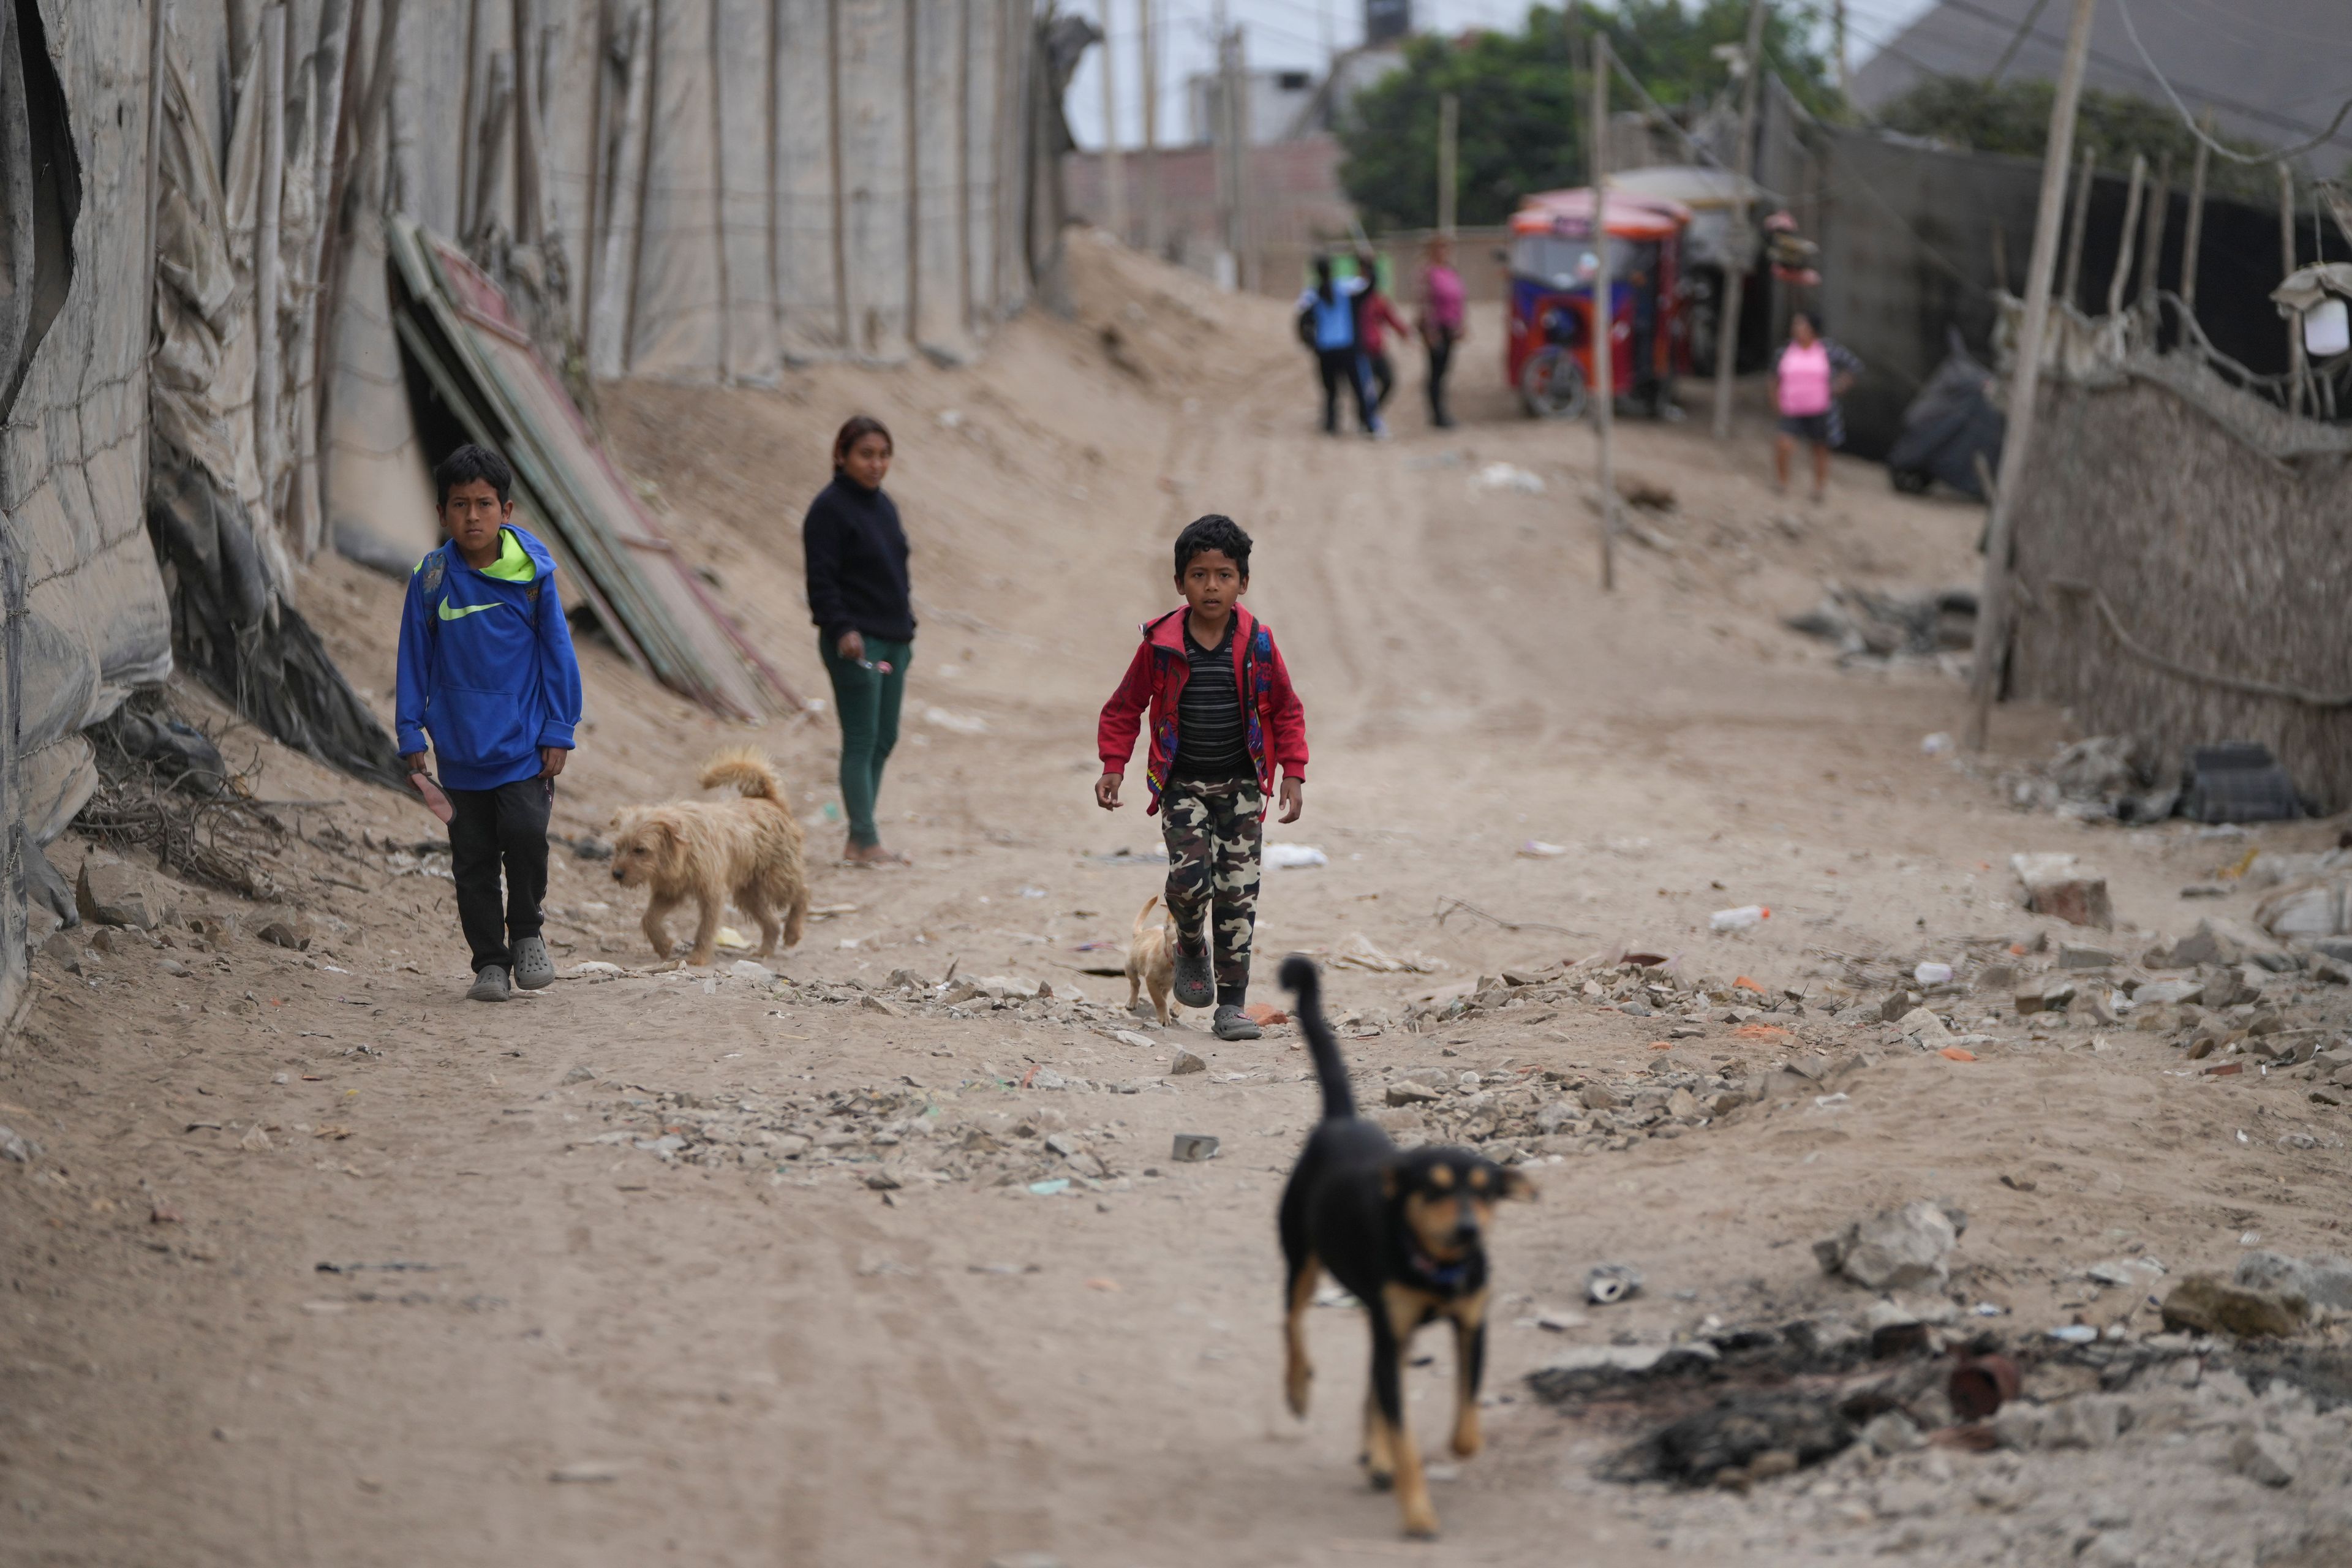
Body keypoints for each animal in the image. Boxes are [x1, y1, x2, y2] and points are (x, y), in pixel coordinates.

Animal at [606, 752, 809, 968]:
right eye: (618, 847)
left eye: (640, 850)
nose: (616, 874)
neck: (684, 849)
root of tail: (770, 801)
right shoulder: (669, 892)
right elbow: (649, 919)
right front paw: (663, 945)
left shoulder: (712, 893)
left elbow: (706, 927)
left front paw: (698, 957)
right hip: (748, 894)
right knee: (772, 922)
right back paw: (764, 951)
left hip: (777, 880)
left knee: (803, 892)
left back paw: (793, 932)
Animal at [1124, 893, 1185, 1030]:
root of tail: (1141, 934)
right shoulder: (1151, 980)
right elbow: (1159, 1000)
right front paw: (1164, 1018)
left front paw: (1176, 1009)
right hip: (1130, 967)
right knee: (1135, 983)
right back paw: (1132, 1002)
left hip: (1166, 985)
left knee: (1164, 992)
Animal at [1279, 949, 1533, 1542]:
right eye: (1433, 1189)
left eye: (1486, 1192)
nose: (1468, 1230)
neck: (1435, 1268)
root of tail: (1341, 1121)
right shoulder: (1391, 1327)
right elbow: (1405, 1436)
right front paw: (1417, 1511)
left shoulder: (1470, 1325)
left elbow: (1464, 1416)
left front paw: (1456, 1447)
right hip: (1302, 1257)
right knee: (1292, 1323)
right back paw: (1299, 1389)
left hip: (1385, 1323)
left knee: (1369, 1382)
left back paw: (1374, 1457)